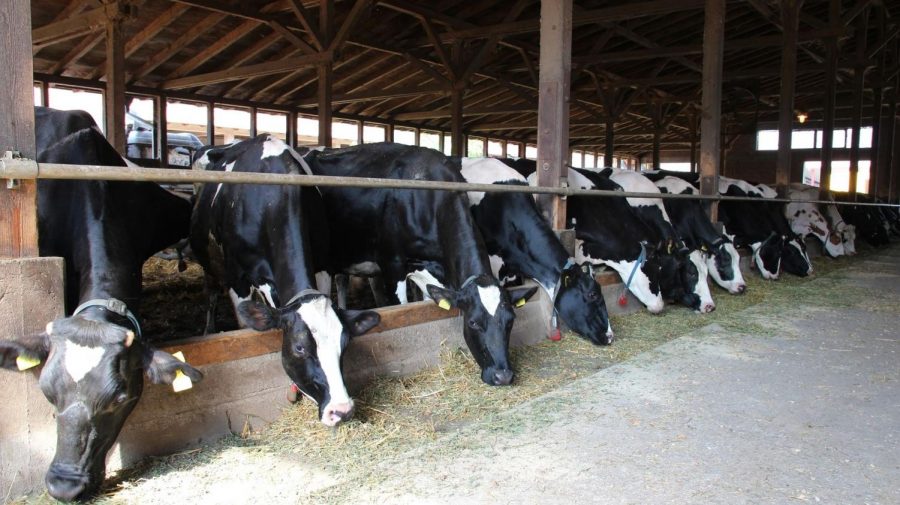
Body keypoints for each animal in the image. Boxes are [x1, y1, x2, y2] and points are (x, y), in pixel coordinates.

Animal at [192, 135, 382, 426]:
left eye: (344, 344)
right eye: (299, 348)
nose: (341, 410)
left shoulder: (322, 267)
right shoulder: (239, 280)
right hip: (210, 264)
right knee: (211, 295)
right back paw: (208, 329)